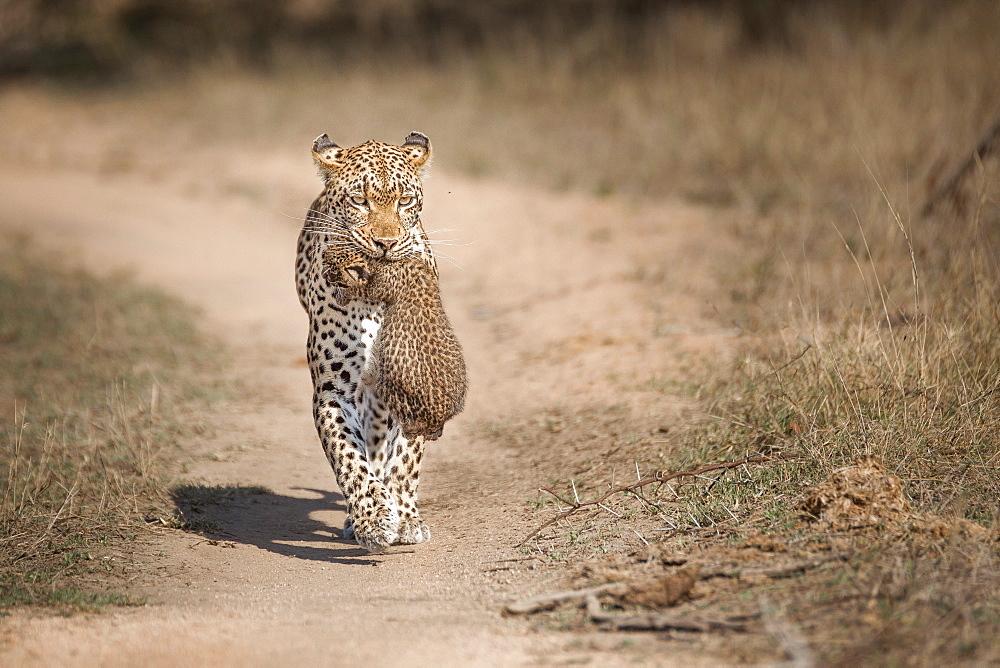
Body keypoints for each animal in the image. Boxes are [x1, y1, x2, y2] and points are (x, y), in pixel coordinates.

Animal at [292, 130, 442, 552]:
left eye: (404, 201)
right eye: (360, 200)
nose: (386, 244)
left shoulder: (412, 382)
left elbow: (406, 458)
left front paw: (405, 516)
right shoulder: (333, 391)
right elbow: (348, 457)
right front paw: (373, 518)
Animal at [322, 248, 470, 440]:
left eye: (333, 268)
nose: (324, 275)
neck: (382, 263)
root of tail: (437, 416)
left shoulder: (378, 287)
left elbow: (361, 289)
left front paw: (342, 295)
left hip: (389, 389)